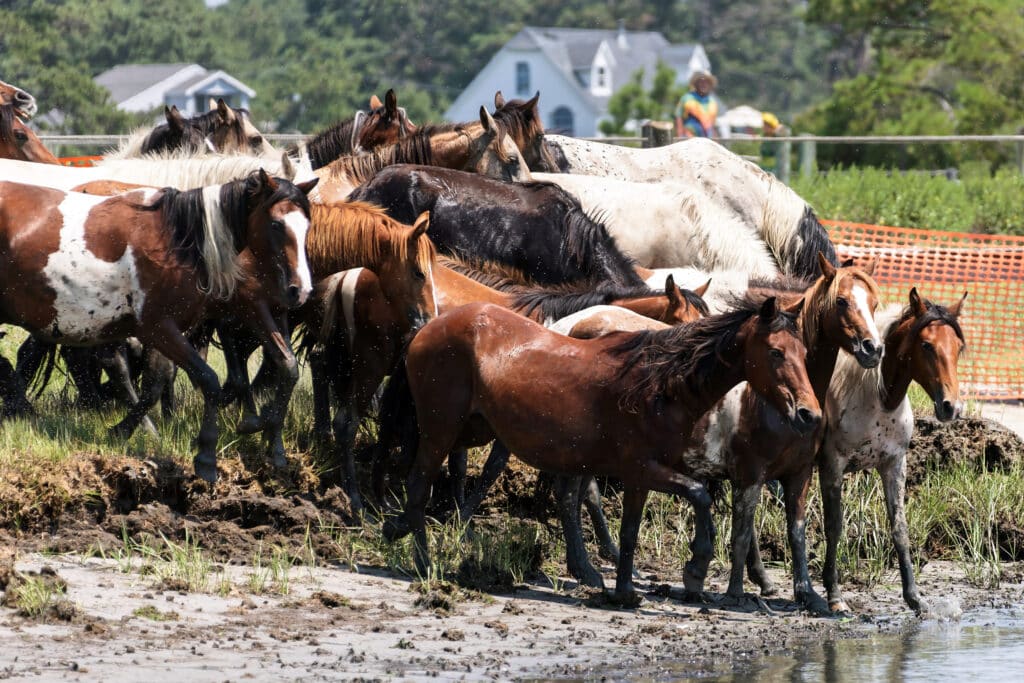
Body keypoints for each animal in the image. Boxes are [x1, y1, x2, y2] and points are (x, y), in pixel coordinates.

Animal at [0, 171, 315, 481]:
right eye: (276, 224)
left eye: (307, 226)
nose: (300, 290)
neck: (180, 243)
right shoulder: (158, 327)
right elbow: (205, 379)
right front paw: (206, 454)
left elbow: (283, 367)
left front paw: (270, 440)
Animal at [380, 299, 819, 602]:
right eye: (776, 352)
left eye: (804, 354)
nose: (808, 414)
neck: (659, 386)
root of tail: (428, 328)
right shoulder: (645, 468)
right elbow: (698, 497)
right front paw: (695, 567)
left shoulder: (643, 476)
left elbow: (630, 532)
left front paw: (625, 592)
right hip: (440, 431)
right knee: (419, 485)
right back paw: (422, 561)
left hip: (470, 431)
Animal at [815, 286, 966, 618]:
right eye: (926, 345)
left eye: (959, 347)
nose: (950, 407)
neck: (877, 397)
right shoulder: (832, 464)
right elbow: (834, 526)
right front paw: (834, 596)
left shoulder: (894, 465)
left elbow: (900, 529)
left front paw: (915, 599)